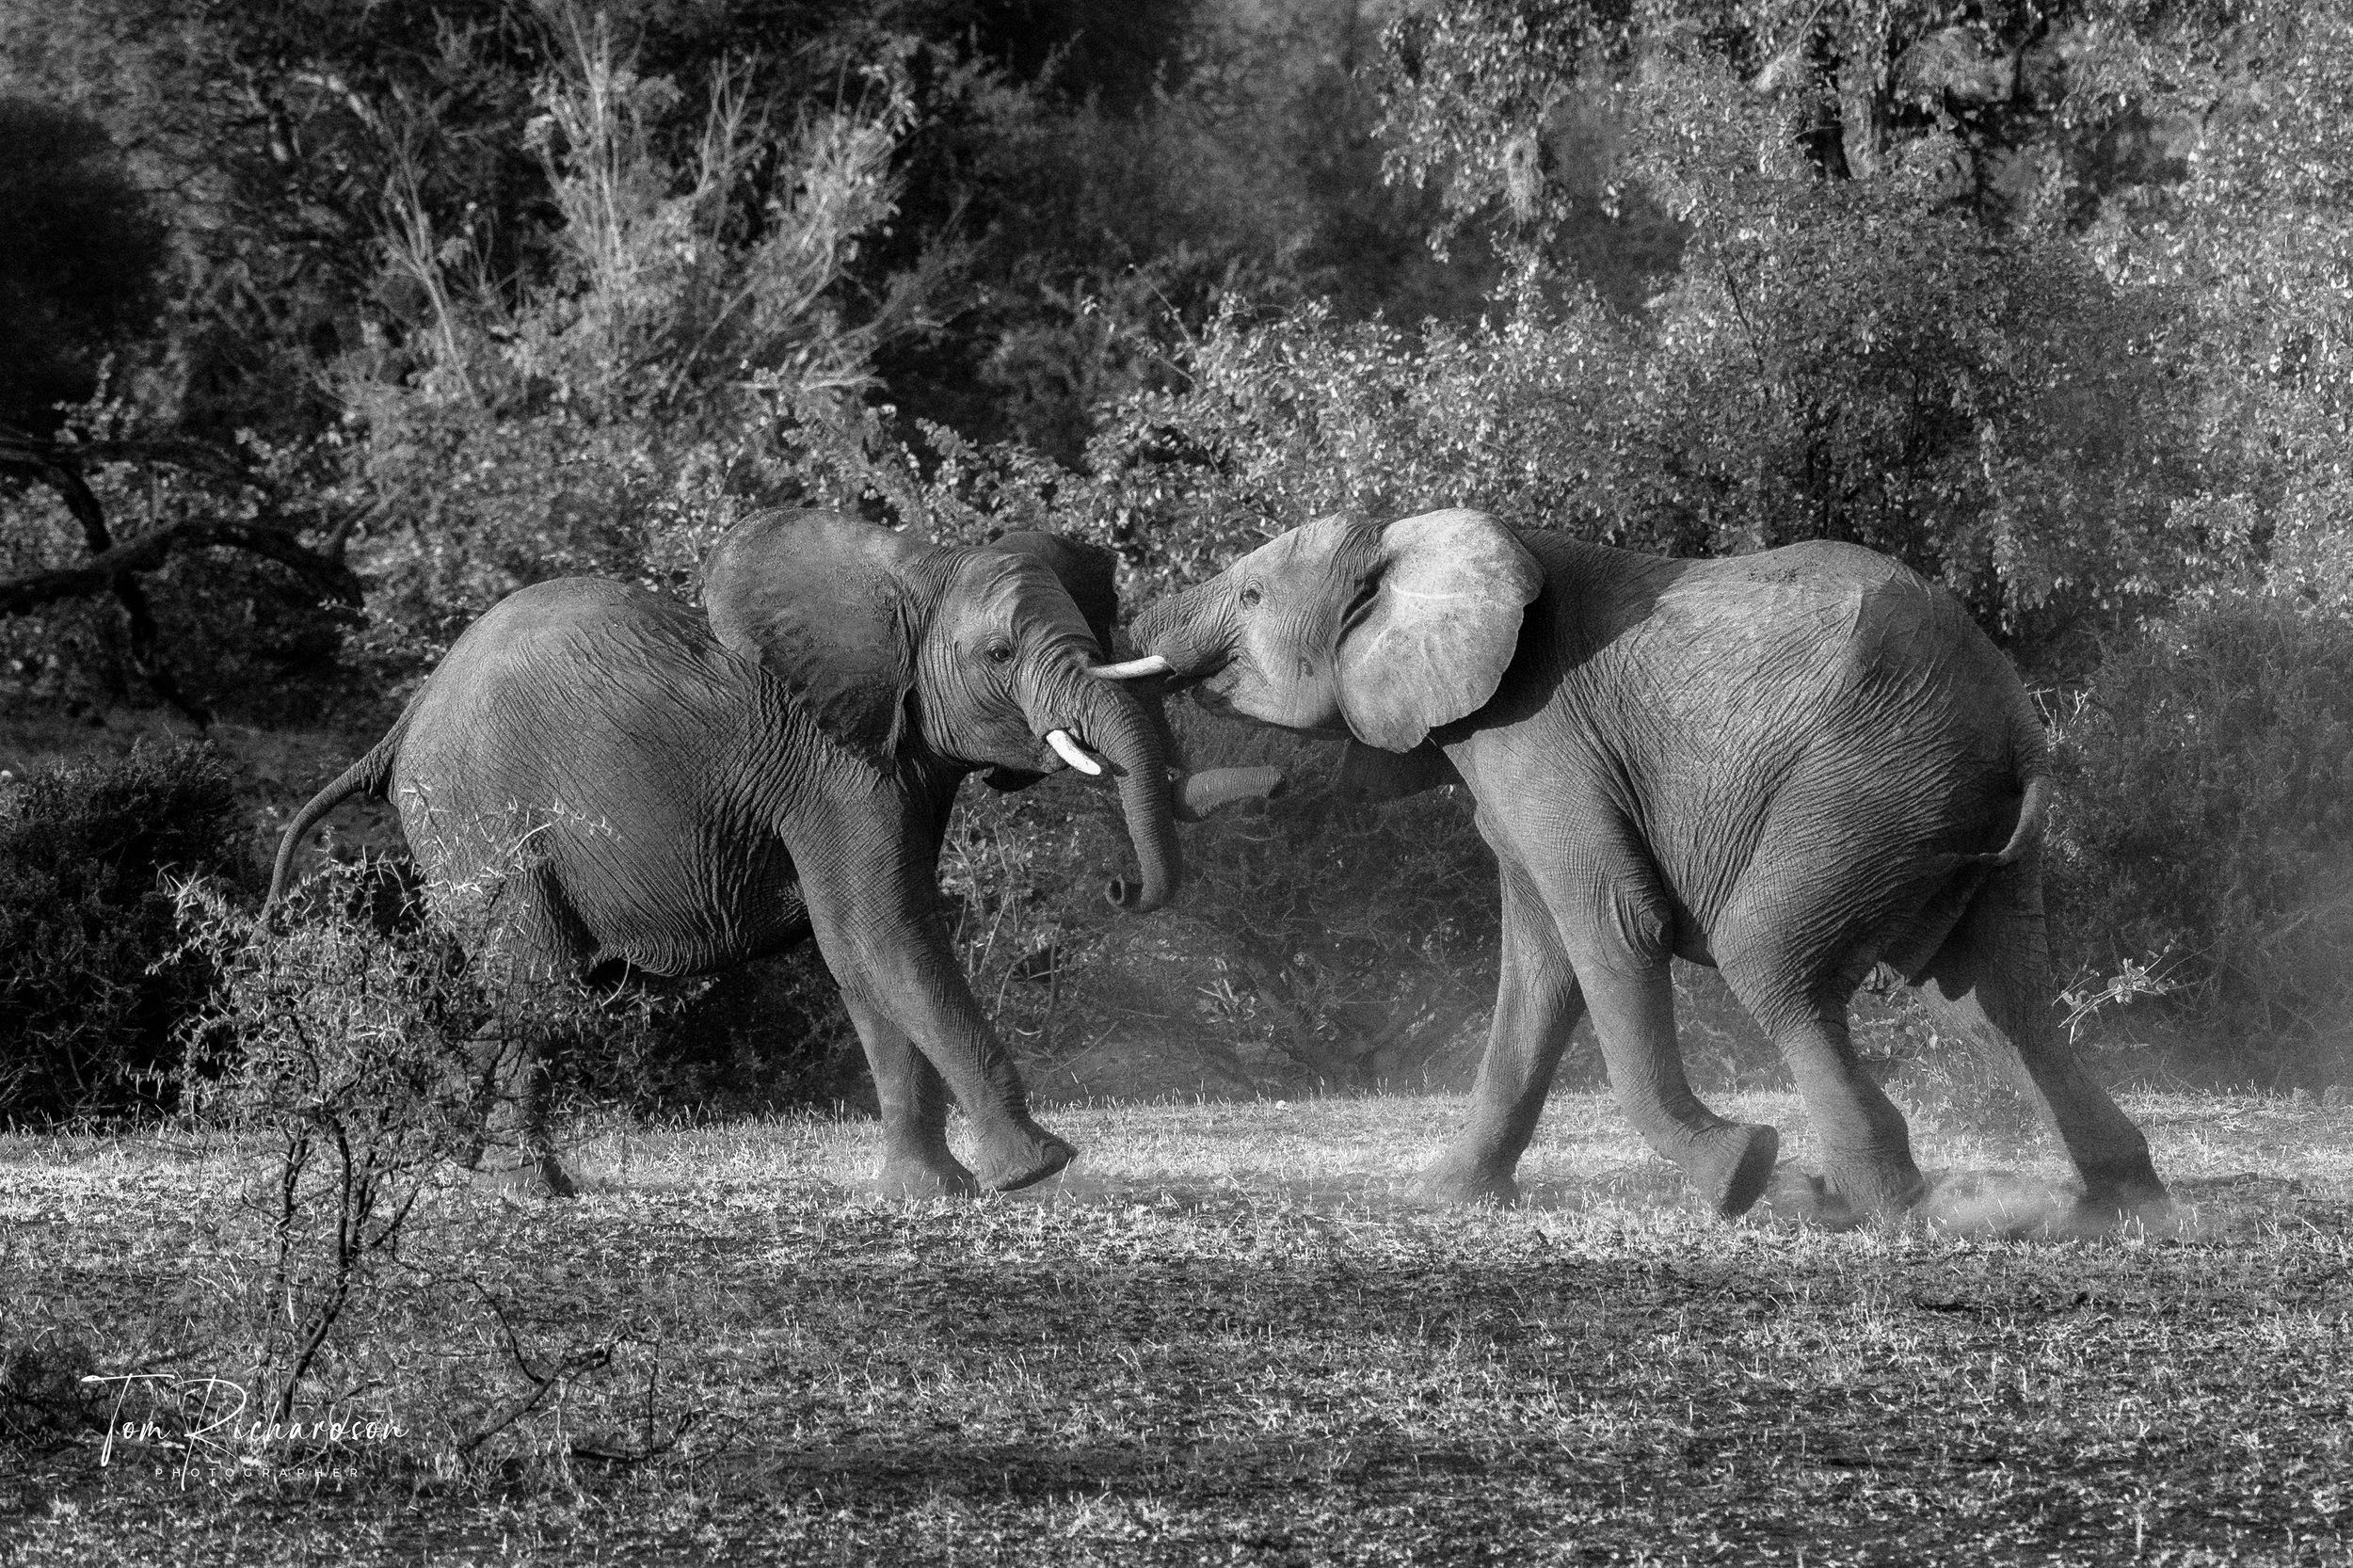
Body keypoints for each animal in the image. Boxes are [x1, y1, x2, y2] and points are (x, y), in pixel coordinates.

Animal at [266, 510, 1281, 1200]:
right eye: (999, 655)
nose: (1118, 886)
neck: (911, 580)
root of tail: (401, 723)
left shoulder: (893, 763)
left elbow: (861, 953)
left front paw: (926, 1195)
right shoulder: (833, 768)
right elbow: (883, 931)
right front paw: (1033, 1172)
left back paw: (478, 1178)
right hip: (480, 818)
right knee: (538, 987)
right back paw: (532, 1192)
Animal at [1117, 507, 2167, 1223]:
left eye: (1252, 597)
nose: (1122, 887)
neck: (1422, 536)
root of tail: (2012, 728)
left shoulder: (1541, 735)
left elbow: (1614, 931)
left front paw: (1738, 1173)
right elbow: (1537, 971)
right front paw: (1445, 1198)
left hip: (1865, 792)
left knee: (1773, 965)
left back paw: (1863, 1202)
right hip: (1950, 824)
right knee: (2000, 1000)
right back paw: (2122, 1200)